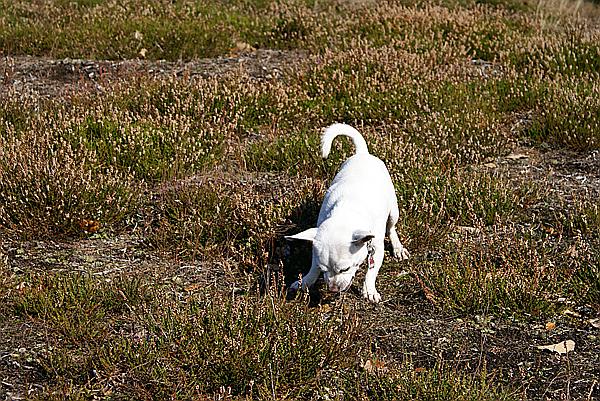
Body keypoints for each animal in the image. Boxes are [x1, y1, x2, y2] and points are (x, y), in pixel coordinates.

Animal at [284, 123, 408, 302]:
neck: (346, 210)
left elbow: (372, 270)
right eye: (323, 269)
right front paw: (305, 281)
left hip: (393, 211)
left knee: (391, 228)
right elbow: (312, 267)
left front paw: (369, 289)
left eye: (345, 269)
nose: (333, 289)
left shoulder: (376, 247)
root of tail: (362, 153)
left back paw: (398, 248)